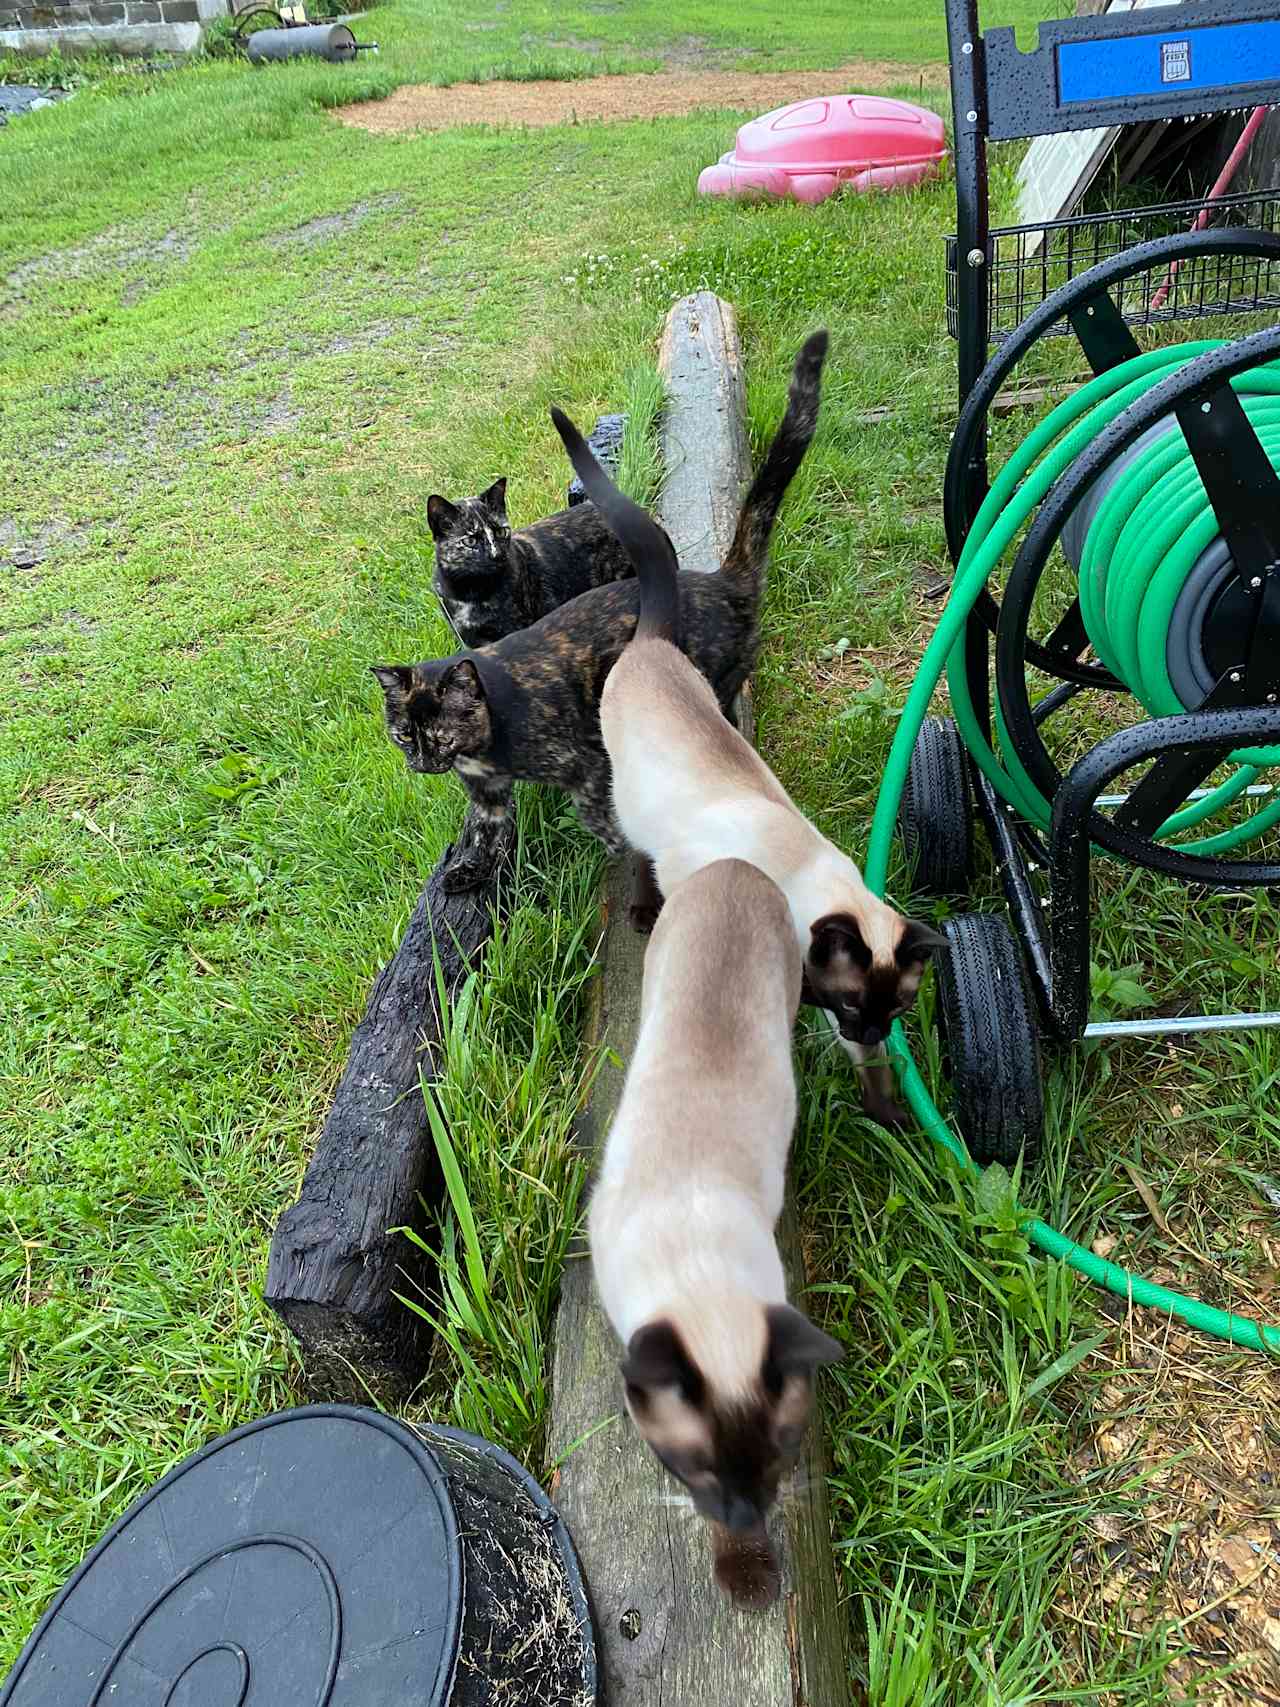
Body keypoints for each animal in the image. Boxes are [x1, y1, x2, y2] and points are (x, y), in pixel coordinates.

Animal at [556, 392, 948, 1126]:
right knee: (636, 854)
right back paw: (641, 910)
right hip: (632, 807)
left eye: (897, 1009)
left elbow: (872, 1072)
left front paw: (888, 1116)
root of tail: (652, 644)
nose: (866, 1027)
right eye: (854, 1001)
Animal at [593, 860, 853, 1604]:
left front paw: (749, 1565)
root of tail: (735, 865)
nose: (747, 1512)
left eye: (780, 1456)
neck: (698, 1274)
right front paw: (743, 1566)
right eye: (698, 1469)